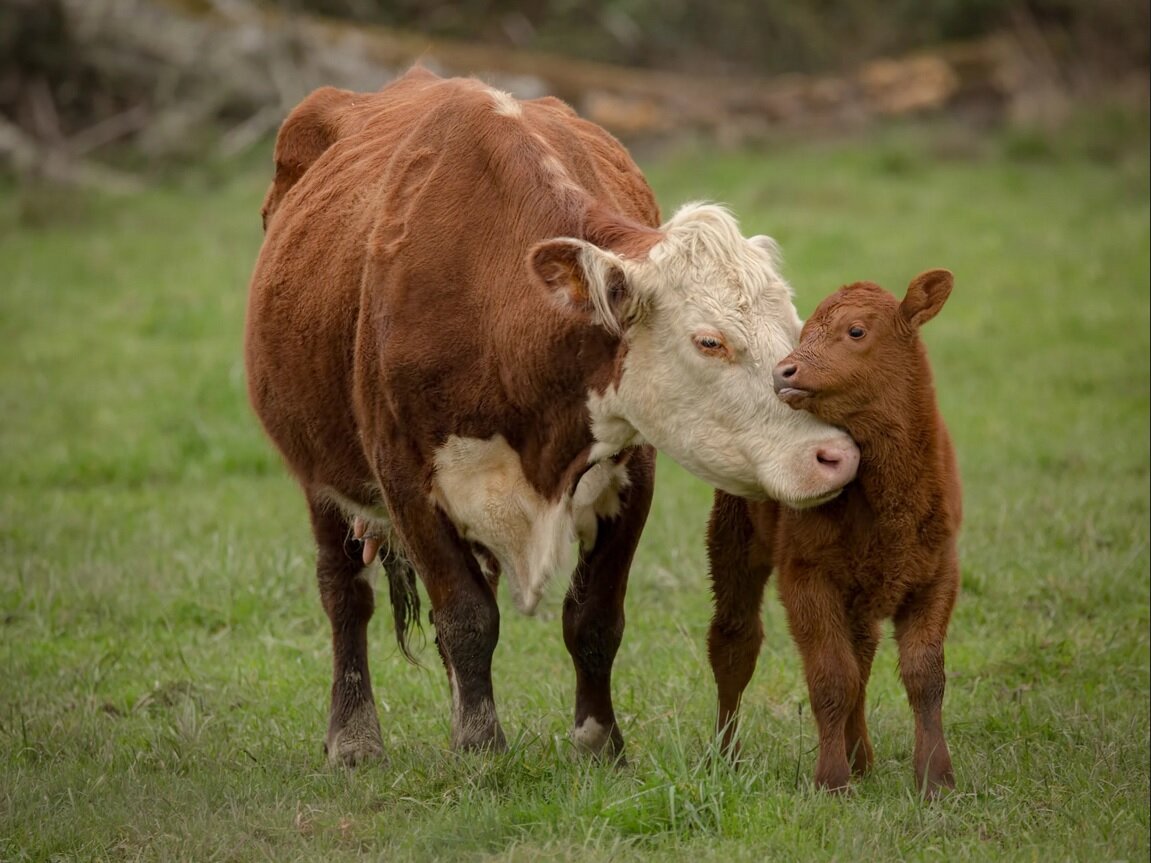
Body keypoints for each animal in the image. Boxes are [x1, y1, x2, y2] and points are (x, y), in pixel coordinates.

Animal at [242, 69, 860, 768]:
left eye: (793, 328)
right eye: (709, 341)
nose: (834, 455)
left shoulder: (632, 473)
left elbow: (592, 618)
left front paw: (597, 742)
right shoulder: (405, 480)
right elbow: (466, 617)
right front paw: (480, 747)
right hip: (319, 473)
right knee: (345, 591)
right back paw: (353, 737)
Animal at [699, 270, 962, 796]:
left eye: (856, 331)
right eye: (802, 333)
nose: (784, 371)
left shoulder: (938, 573)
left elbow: (924, 676)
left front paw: (935, 778)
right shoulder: (806, 575)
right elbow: (830, 677)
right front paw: (831, 781)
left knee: (861, 655)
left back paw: (862, 758)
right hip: (733, 539)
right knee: (735, 643)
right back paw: (726, 757)